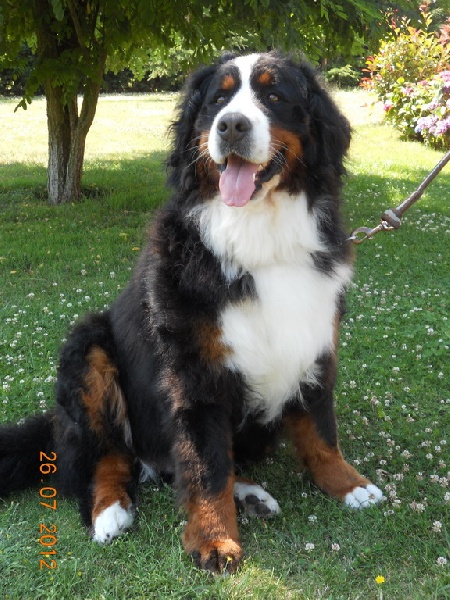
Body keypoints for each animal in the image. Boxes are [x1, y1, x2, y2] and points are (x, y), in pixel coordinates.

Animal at [0, 52, 382, 574]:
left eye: (274, 95)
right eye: (218, 100)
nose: (232, 125)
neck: (260, 239)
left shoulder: (314, 341)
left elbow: (321, 431)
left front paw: (350, 485)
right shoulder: (195, 372)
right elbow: (205, 466)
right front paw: (214, 540)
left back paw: (251, 495)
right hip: (89, 348)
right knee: (104, 458)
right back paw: (110, 510)